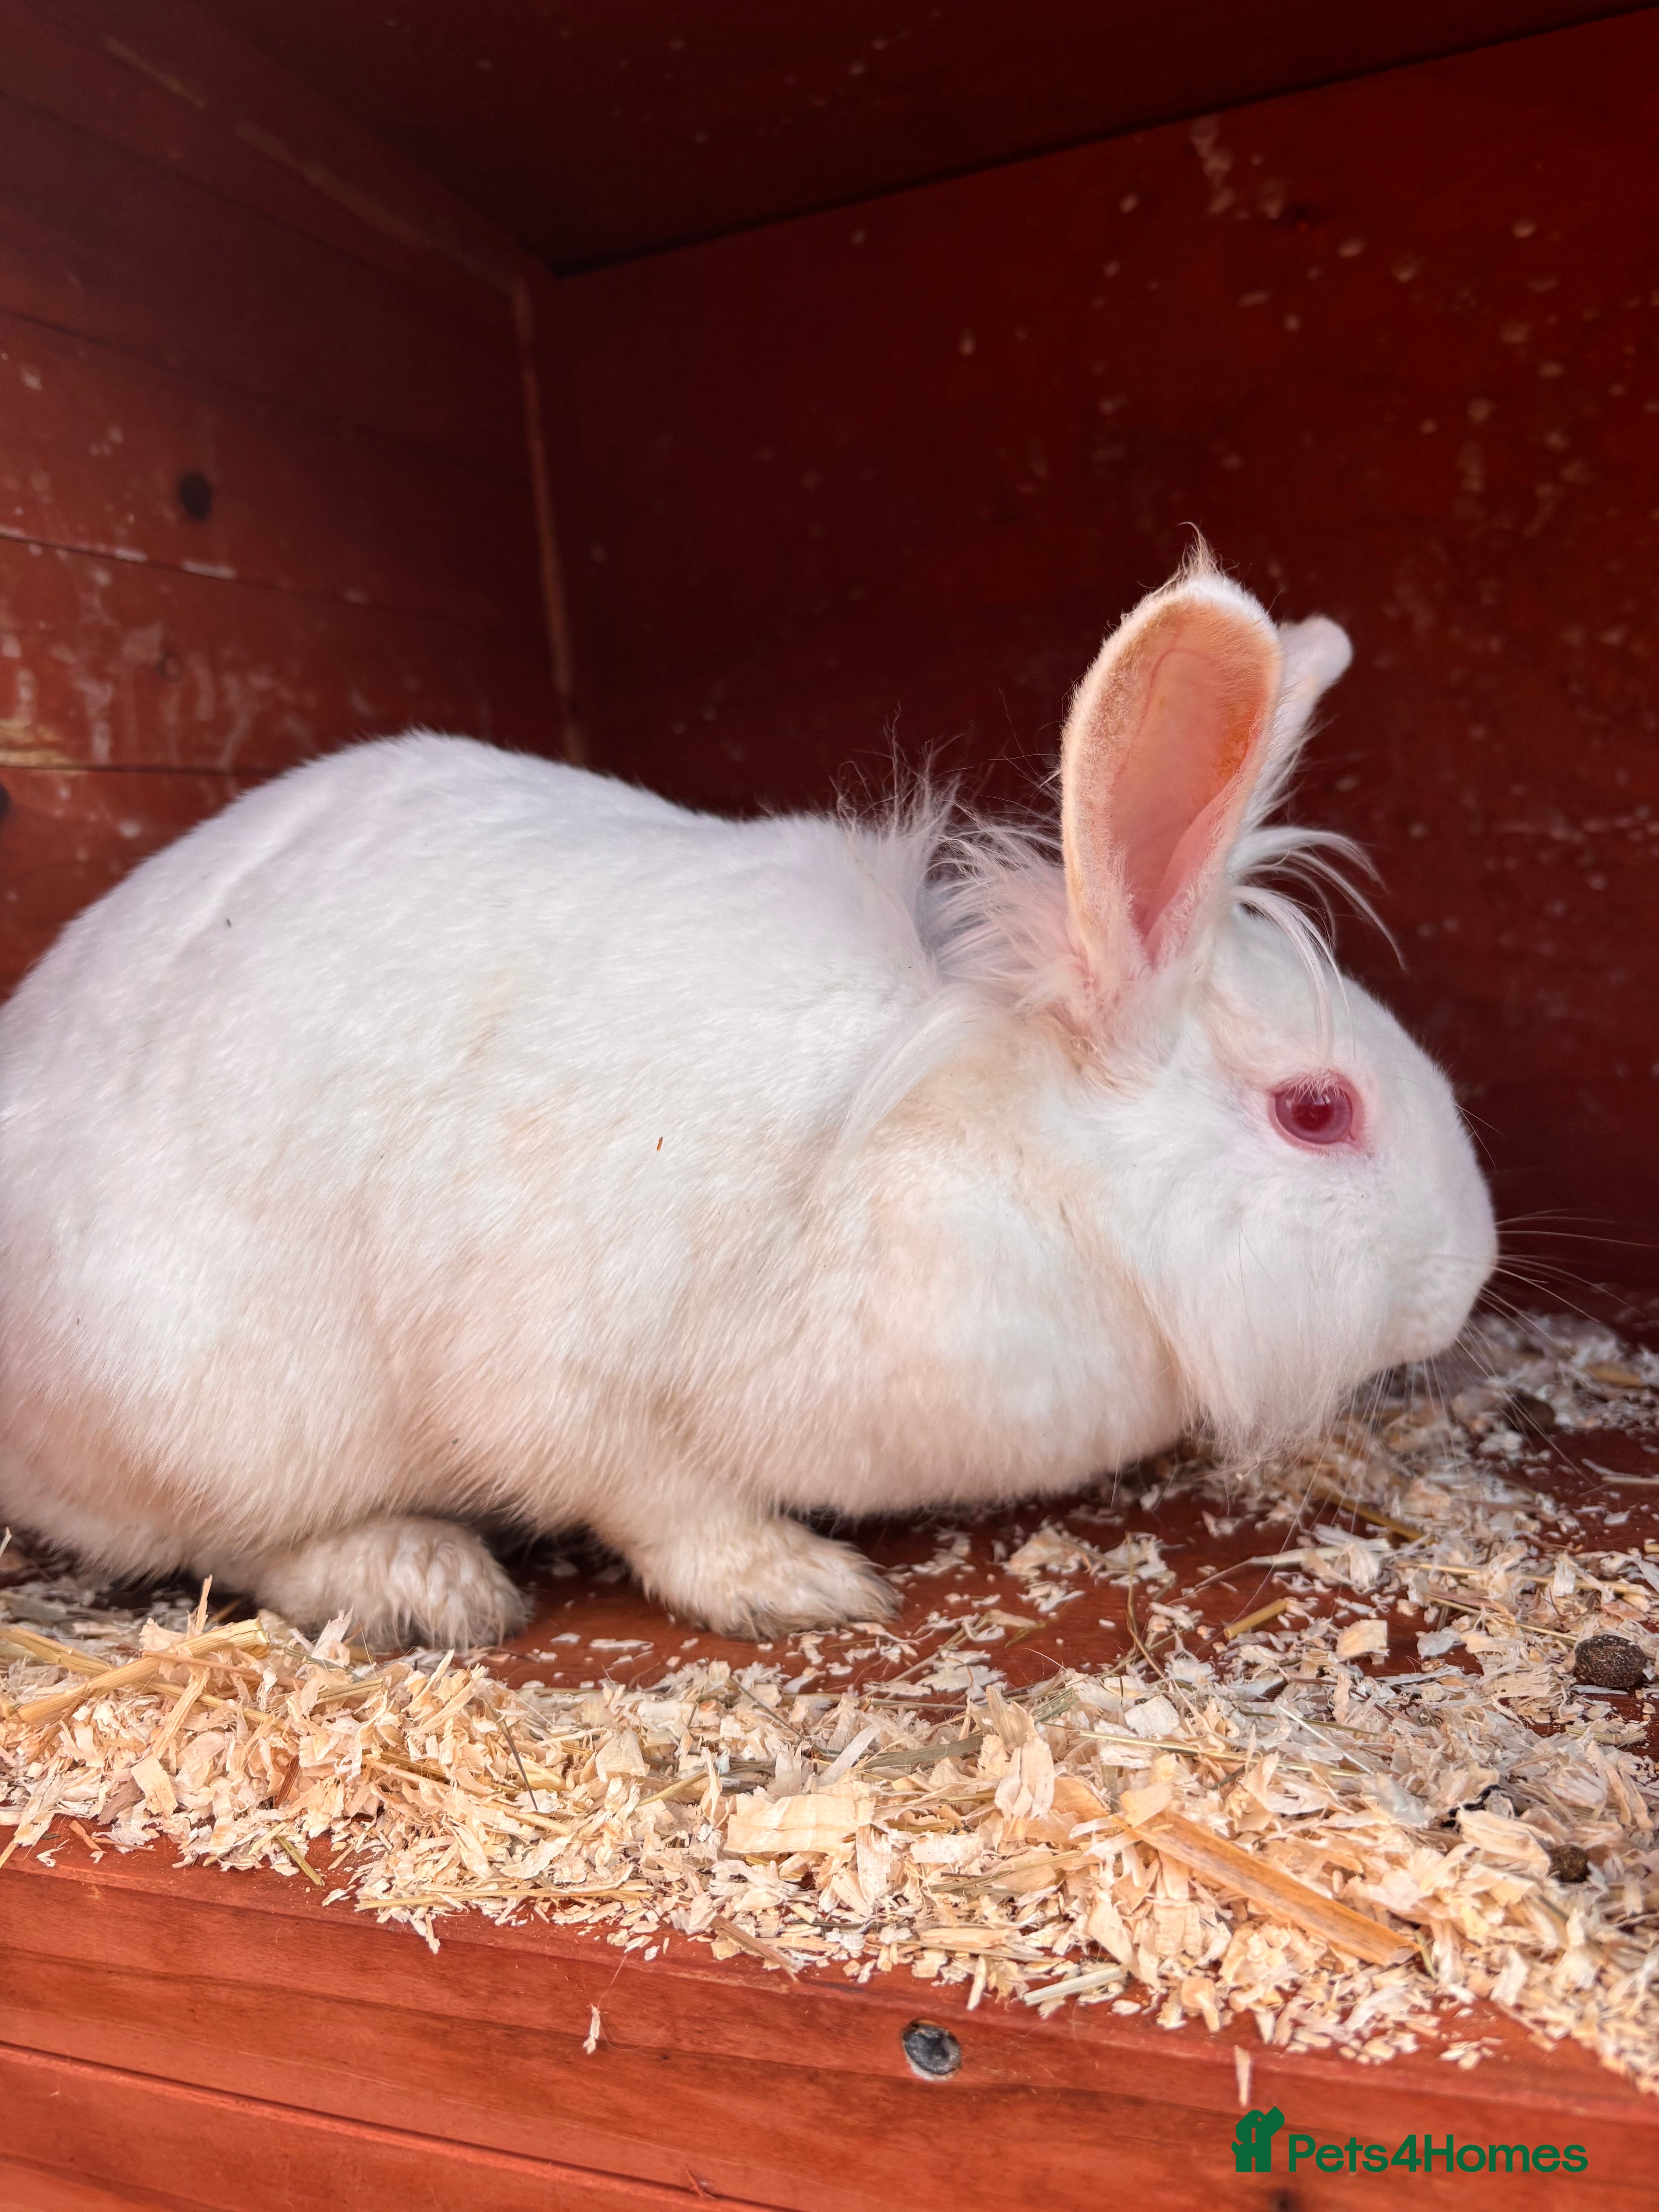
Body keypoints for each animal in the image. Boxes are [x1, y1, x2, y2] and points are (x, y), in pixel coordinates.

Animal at [0, 552, 1496, 1647]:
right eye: (1317, 1111)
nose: (1468, 1279)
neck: (1003, 1154)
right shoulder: (575, 1378)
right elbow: (663, 1505)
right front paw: (798, 1583)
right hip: (213, 1407)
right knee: (236, 1540)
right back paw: (423, 1581)